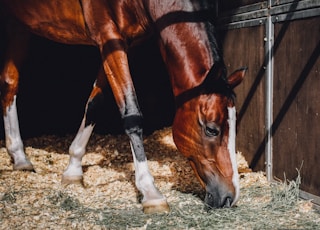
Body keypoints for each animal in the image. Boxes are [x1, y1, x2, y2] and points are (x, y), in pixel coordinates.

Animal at [0, 0, 246, 214]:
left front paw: (73, 169)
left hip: (17, 23)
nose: (230, 197)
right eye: (211, 129)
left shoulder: (117, 44)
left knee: (10, 83)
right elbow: (131, 113)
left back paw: (20, 157)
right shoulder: (109, 37)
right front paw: (150, 192)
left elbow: (95, 104)